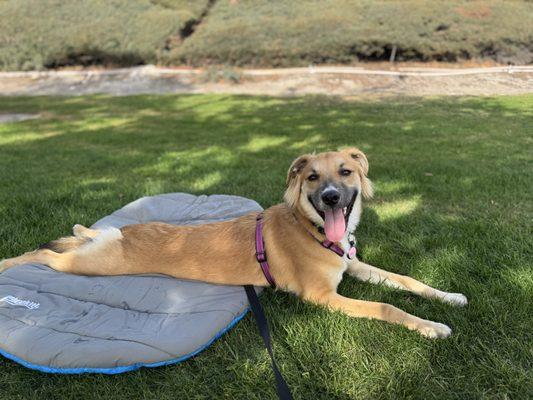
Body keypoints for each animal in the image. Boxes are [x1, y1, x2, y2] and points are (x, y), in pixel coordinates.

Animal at [0, 147, 466, 338]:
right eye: (312, 177)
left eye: (346, 172)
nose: (333, 197)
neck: (312, 229)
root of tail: (130, 234)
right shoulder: (321, 296)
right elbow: (387, 306)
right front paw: (432, 328)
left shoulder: (351, 264)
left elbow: (407, 281)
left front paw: (449, 298)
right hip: (91, 264)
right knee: (44, 254)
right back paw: (9, 263)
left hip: (111, 241)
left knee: (91, 233)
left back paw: (83, 227)